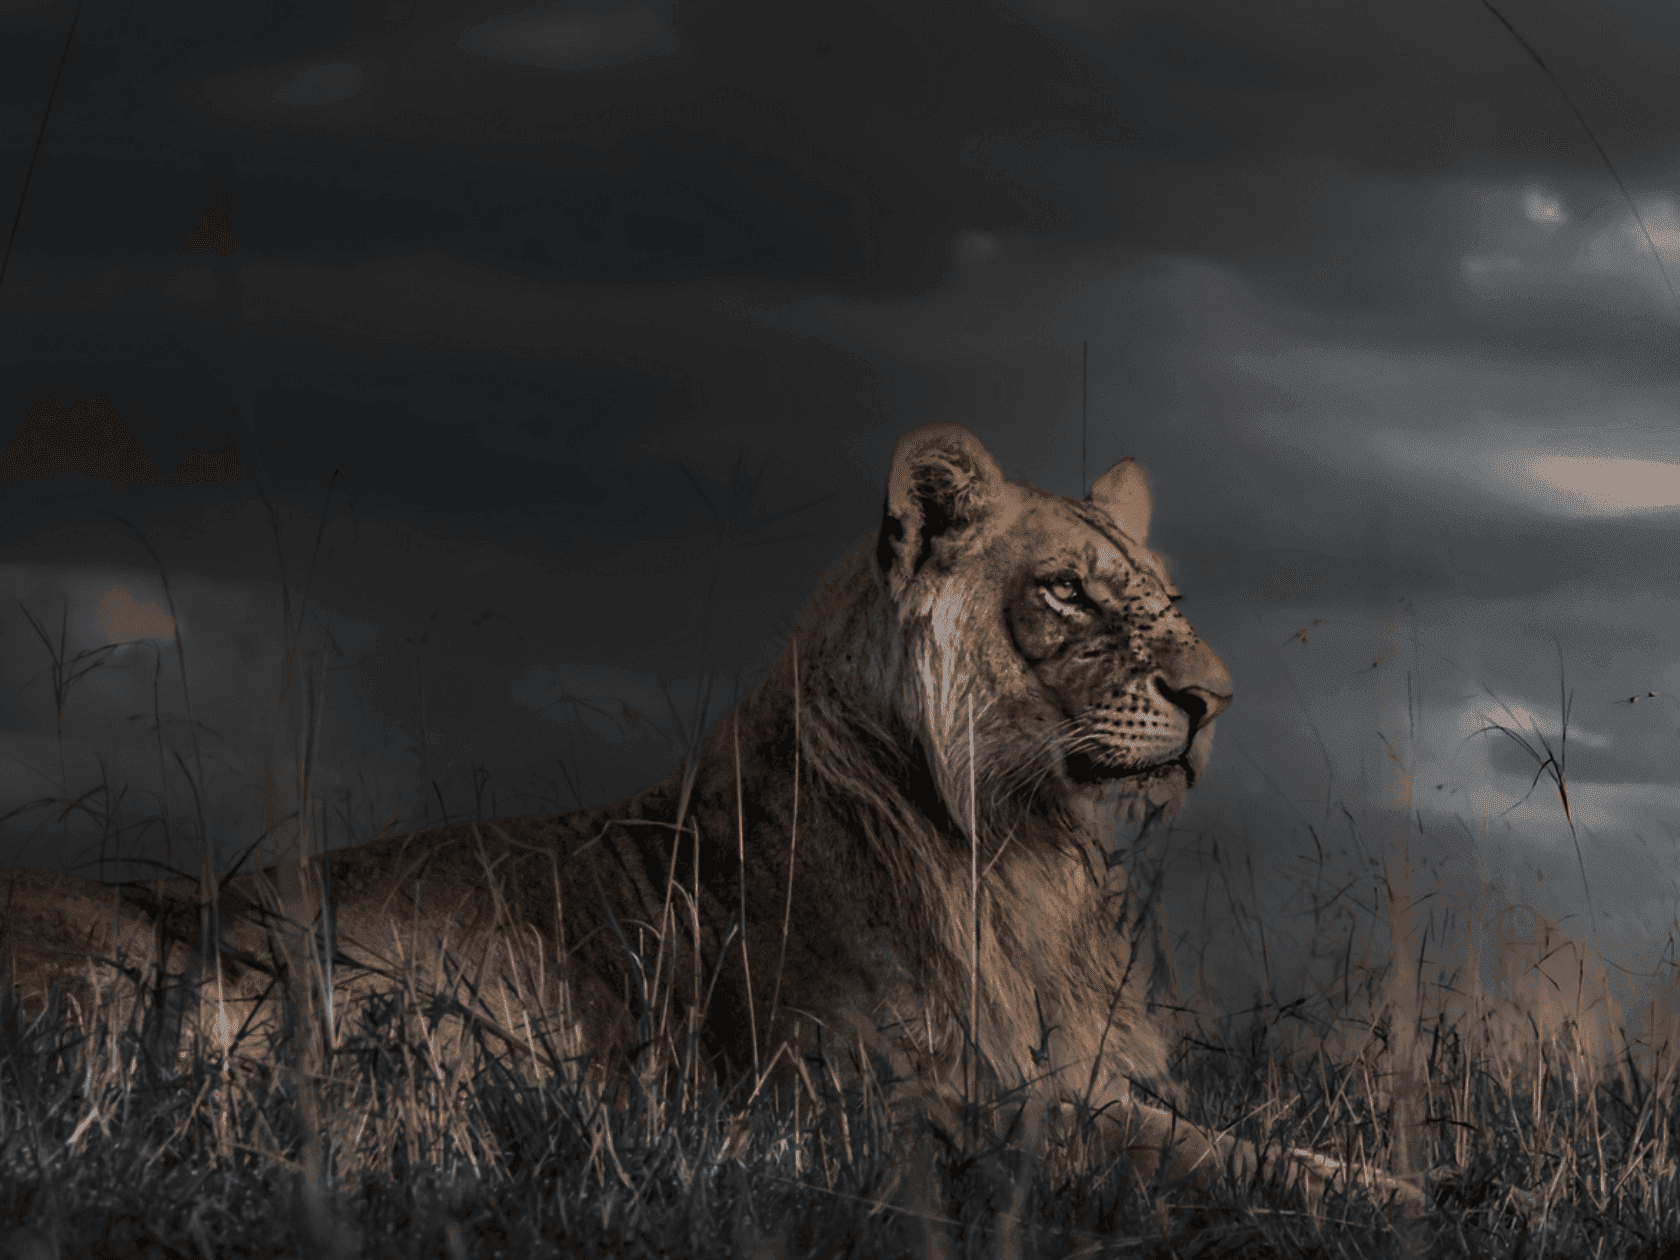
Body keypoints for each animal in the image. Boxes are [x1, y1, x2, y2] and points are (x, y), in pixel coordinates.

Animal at [1, 423, 1418, 1208]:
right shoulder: (872, 1107)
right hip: (201, 980)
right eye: (1068, 592)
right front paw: (1408, 1192)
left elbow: (1206, 1134)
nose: (1214, 698)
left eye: (1167, 597)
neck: (1020, 844)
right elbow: (1194, 1149)